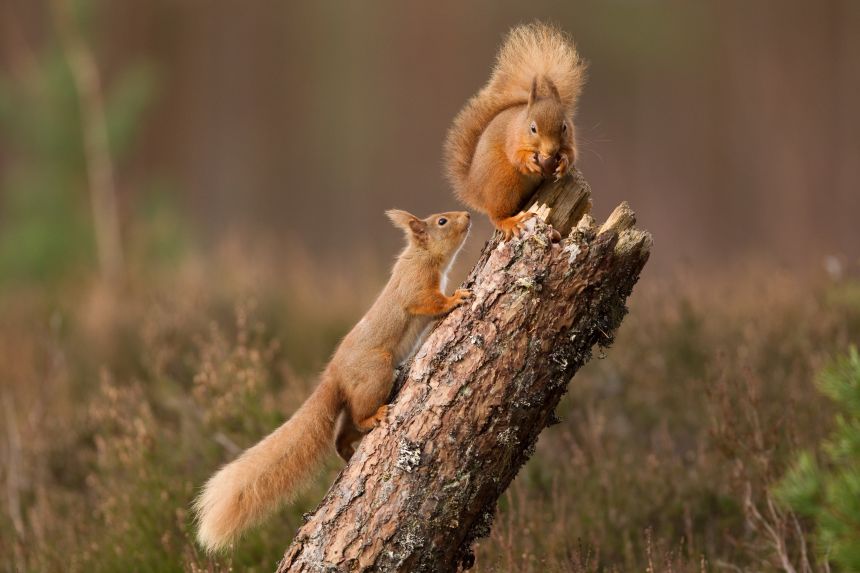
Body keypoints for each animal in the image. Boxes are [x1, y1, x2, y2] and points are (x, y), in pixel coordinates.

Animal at [194, 209, 472, 553]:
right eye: (442, 221)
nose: (468, 215)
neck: (422, 256)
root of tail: (334, 376)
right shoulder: (416, 288)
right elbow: (430, 303)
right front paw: (456, 298)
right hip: (376, 374)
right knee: (357, 416)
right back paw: (374, 418)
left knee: (342, 434)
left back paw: (349, 450)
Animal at [444, 21, 586, 239]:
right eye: (533, 128)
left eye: (564, 127)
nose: (550, 151)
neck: (521, 122)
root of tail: (475, 190)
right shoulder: (512, 139)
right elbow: (516, 156)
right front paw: (529, 162)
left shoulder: (570, 140)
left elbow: (571, 153)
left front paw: (563, 162)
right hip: (504, 182)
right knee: (496, 216)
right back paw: (511, 222)